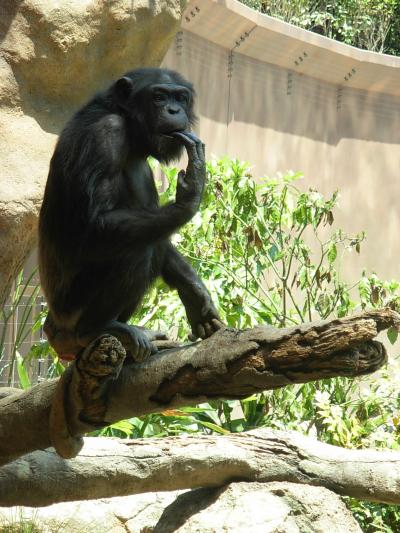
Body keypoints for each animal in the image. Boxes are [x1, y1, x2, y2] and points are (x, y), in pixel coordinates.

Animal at [39, 64, 223, 360]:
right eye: (159, 97)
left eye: (180, 98)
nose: (174, 110)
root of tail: (56, 334)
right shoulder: (105, 135)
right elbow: (96, 223)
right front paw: (192, 191)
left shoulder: (143, 169)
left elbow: (156, 224)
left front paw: (195, 293)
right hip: (71, 312)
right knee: (137, 250)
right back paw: (97, 328)